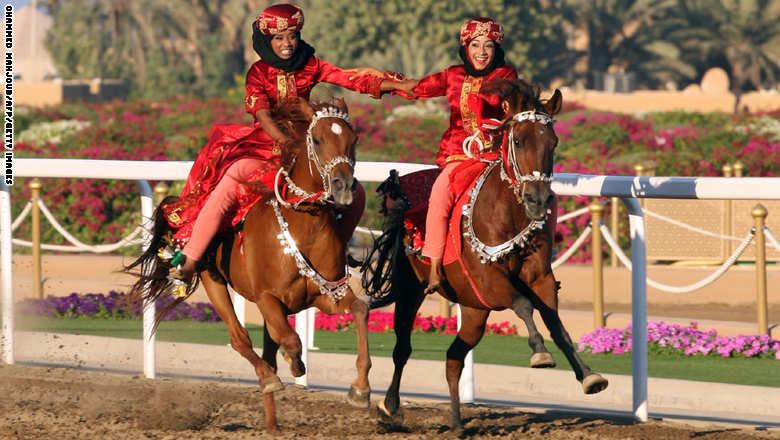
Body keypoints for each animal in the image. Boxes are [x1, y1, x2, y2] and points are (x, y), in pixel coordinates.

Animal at [126, 97, 374, 436]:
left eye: (354, 140)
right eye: (317, 139)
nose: (344, 187)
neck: (303, 225)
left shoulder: (327, 293)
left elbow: (359, 311)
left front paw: (360, 389)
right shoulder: (267, 297)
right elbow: (290, 341)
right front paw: (292, 365)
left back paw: (274, 424)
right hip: (212, 279)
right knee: (240, 339)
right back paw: (270, 380)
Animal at [366, 80, 608, 430]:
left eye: (553, 142)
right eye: (518, 140)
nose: (537, 200)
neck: (506, 217)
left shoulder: (540, 278)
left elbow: (556, 323)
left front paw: (589, 375)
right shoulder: (489, 282)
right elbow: (523, 305)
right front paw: (539, 352)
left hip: (474, 311)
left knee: (454, 357)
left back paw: (456, 422)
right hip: (411, 290)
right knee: (402, 348)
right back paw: (390, 404)